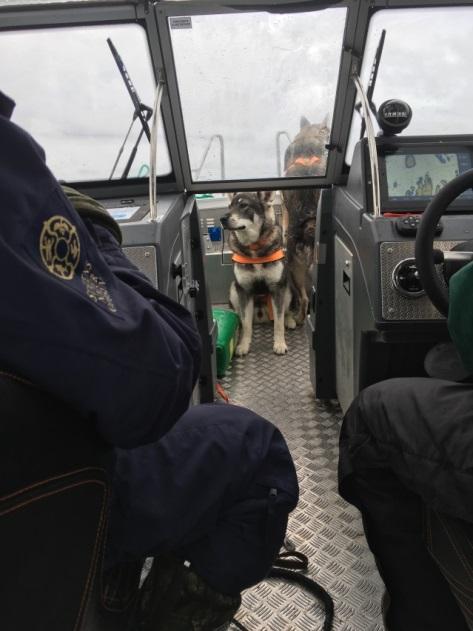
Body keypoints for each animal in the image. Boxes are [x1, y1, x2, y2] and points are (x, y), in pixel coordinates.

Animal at [220, 190, 296, 356]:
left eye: (244, 205)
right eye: (229, 206)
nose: (222, 219)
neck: (254, 247)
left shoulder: (277, 289)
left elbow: (278, 322)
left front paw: (280, 343)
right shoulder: (244, 290)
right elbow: (247, 324)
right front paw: (244, 344)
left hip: (287, 289)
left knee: (285, 312)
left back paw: (290, 320)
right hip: (233, 290)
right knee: (242, 317)